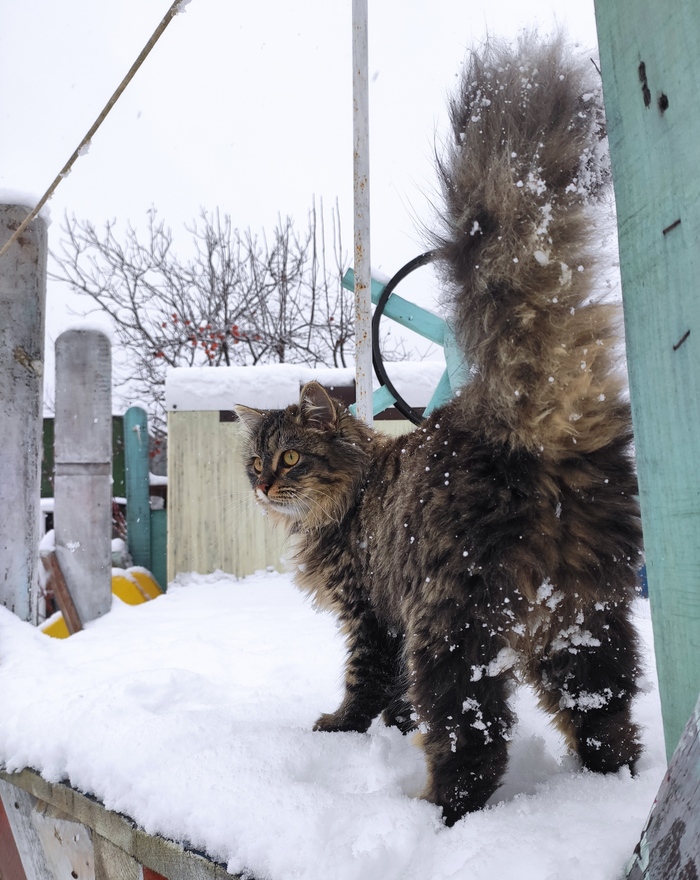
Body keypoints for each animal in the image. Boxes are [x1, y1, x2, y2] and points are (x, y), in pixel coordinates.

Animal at [237, 34, 644, 828]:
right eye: (255, 463)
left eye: (291, 457)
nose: (265, 486)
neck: (352, 496)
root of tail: (518, 426)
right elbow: (391, 699)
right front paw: (390, 731)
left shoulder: (373, 614)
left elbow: (366, 683)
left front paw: (343, 729)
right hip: (582, 618)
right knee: (607, 720)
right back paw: (606, 789)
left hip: (455, 627)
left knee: (475, 741)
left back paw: (437, 816)